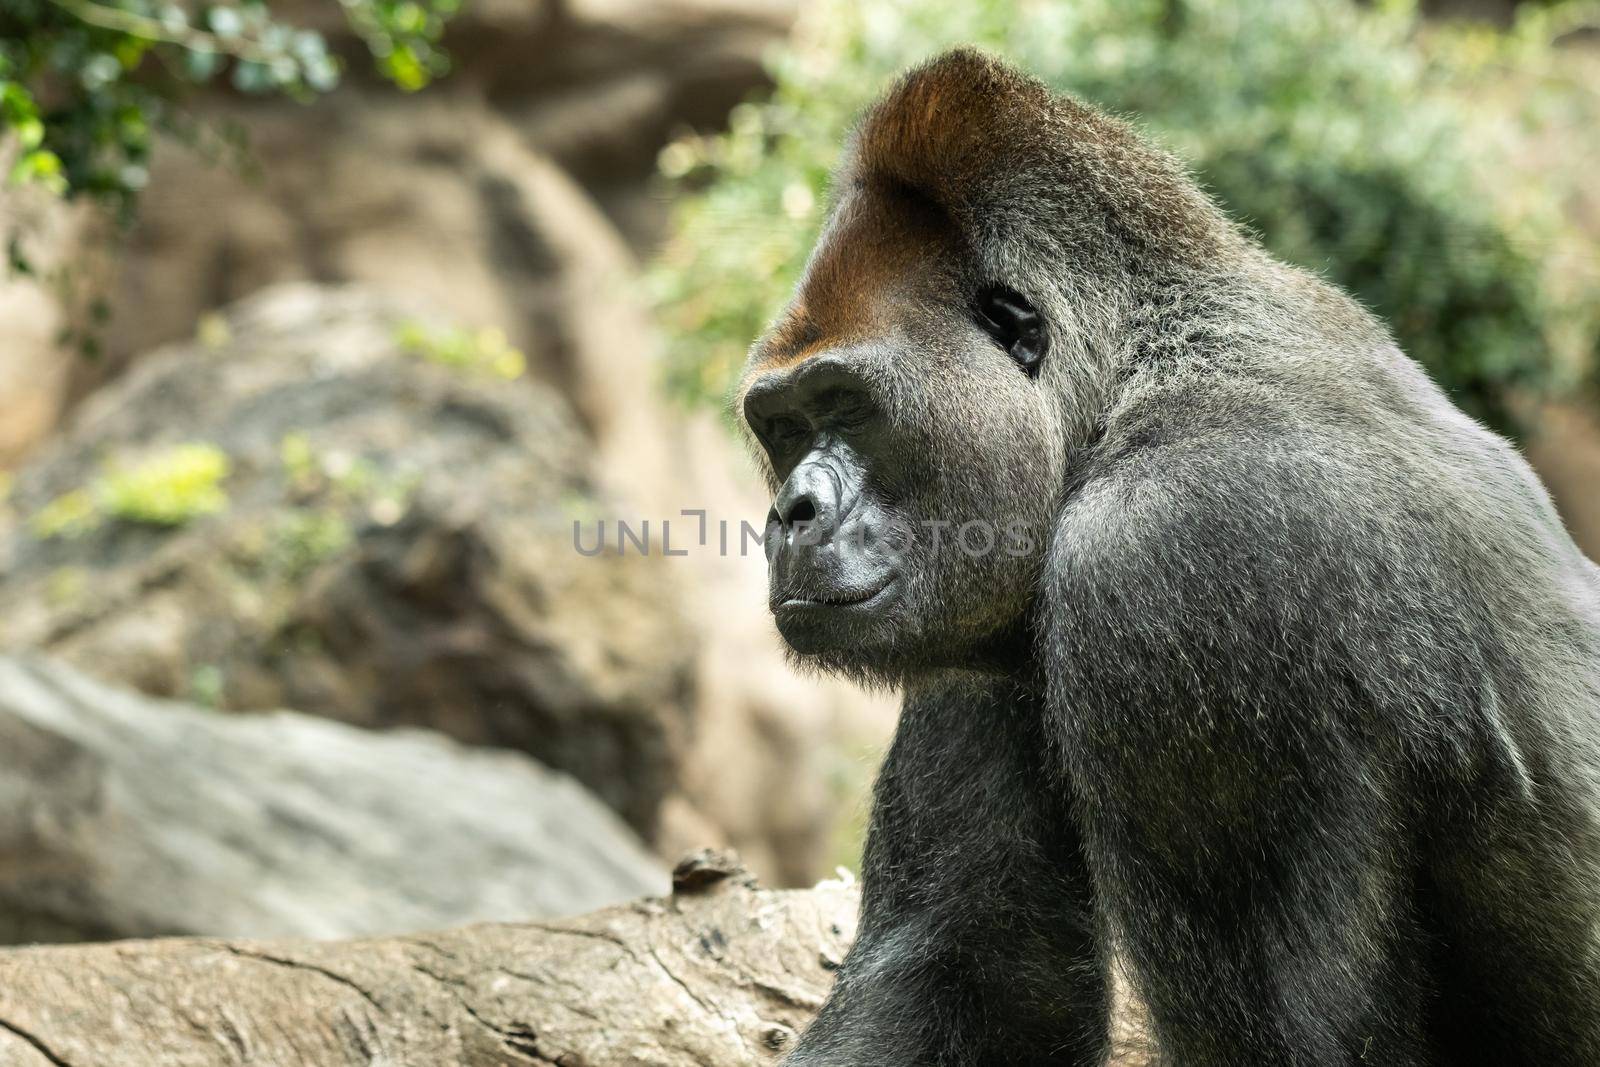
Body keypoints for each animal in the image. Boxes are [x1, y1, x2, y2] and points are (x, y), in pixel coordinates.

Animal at [742, 45, 1600, 1062]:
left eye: (848, 404)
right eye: (782, 426)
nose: (789, 511)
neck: (1130, 378)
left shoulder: (1171, 562)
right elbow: (968, 971)